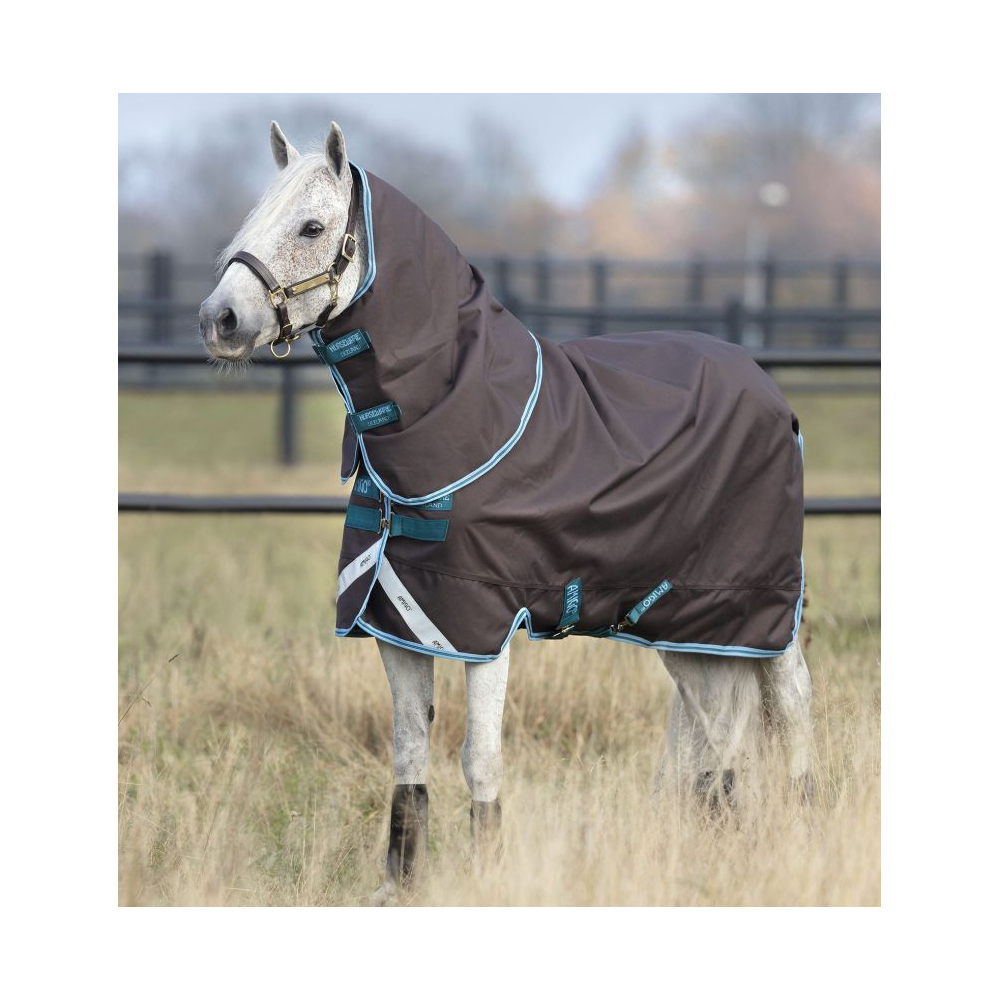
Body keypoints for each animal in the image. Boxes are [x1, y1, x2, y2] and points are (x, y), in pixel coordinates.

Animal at [199, 120, 814, 905]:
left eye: (311, 227)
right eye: (253, 218)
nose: (218, 320)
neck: (460, 417)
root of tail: (767, 388)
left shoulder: (483, 626)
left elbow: (479, 760)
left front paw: (488, 875)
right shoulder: (399, 623)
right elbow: (409, 755)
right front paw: (399, 885)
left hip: (761, 603)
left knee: (790, 707)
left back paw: (801, 830)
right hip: (689, 619)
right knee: (717, 727)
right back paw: (717, 840)